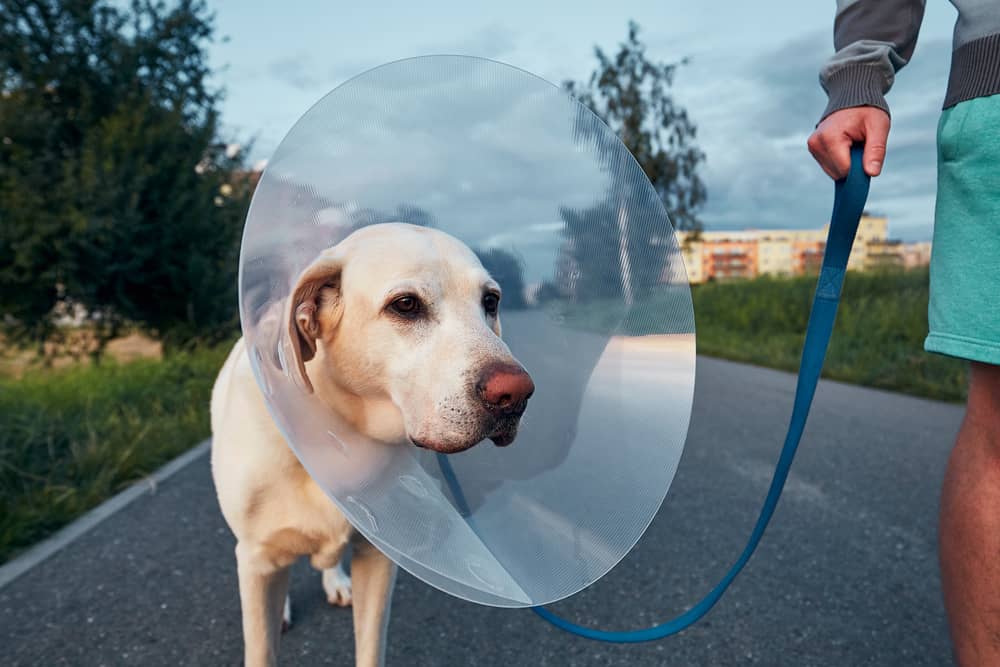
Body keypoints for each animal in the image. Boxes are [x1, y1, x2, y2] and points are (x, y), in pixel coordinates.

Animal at [210, 224, 536, 667]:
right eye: (406, 305)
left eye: (490, 301)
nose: (516, 394)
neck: (335, 438)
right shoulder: (257, 558)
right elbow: (261, 646)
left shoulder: (378, 558)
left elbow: (370, 645)